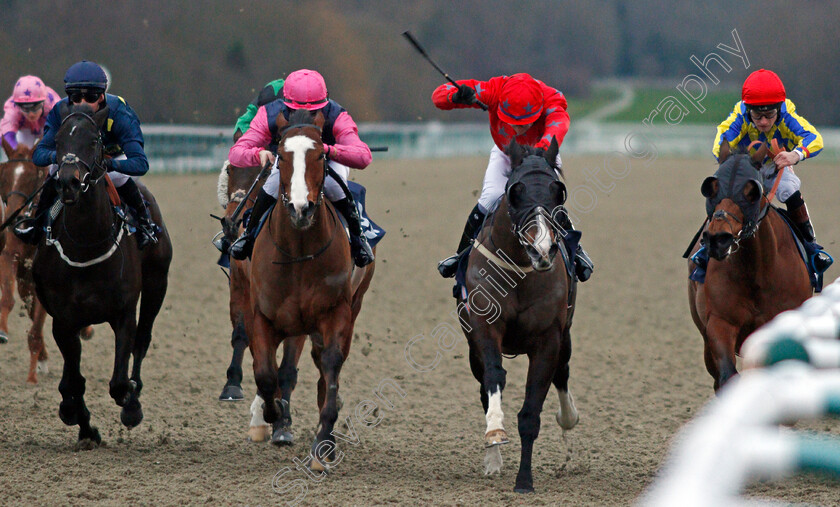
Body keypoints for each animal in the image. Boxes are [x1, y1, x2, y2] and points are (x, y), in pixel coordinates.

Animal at [0, 141, 92, 382]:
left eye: (33, 177)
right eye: (4, 177)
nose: (14, 216)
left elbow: (38, 322)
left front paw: (32, 376)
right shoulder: (10, 256)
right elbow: (9, 299)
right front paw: (2, 331)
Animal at [31, 105, 172, 446]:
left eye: (94, 140)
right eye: (57, 140)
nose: (68, 182)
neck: (86, 244)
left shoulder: (123, 313)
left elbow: (119, 381)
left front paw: (130, 402)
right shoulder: (64, 320)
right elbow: (73, 382)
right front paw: (82, 425)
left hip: (157, 283)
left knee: (142, 340)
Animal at [244, 109, 372, 470]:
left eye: (320, 155)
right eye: (281, 155)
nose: (301, 209)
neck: (299, 251)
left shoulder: (336, 313)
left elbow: (330, 367)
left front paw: (322, 444)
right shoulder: (262, 315)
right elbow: (265, 374)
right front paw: (273, 416)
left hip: (352, 307)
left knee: (326, 368)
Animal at [456, 139, 580, 492]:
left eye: (558, 192)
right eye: (515, 191)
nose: (542, 249)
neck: (519, 272)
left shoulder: (549, 339)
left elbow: (531, 413)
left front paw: (524, 480)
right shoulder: (484, 329)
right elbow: (494, 378)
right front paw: (495, 433)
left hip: (565, 337)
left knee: (562, 373)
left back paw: (568, 419)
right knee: (485, 386)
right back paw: (493, 460)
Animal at [688, 143, 812, 392]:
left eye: (751, 191)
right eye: (711, 188)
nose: (718, 239)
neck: (757, 272)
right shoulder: (720, 322)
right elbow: (728, 376)